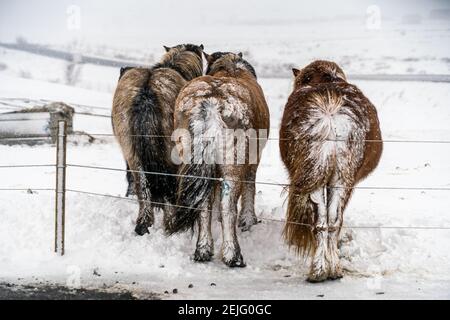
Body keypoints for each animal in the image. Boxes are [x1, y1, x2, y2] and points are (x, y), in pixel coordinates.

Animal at [111, 43, 205, 235]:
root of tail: (146, 94)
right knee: (168, 190)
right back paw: (169, 224)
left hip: (133, 154)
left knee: (143, 187)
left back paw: (143, 225)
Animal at [166, 53, 268, 268]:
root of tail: (212, 103)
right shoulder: (252, 160)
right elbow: (249, 188)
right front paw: (249, 220)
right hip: (233, 164)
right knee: (228, 205)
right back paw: (233, 255)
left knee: (203, 203)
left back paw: (203, 249)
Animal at [280, 60, 382, 282]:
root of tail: (329, 118)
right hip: (340, 180)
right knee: (329, 220)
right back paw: (327, 269)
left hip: (328, 177)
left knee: (326, 221)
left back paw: (323, 270)